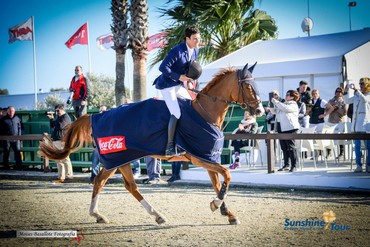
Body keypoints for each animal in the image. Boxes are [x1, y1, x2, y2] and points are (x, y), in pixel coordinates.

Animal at [38, 62, 264, 226]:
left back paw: (141, 215)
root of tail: (98, 115)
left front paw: (227, 212)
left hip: (121, 159)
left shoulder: (207, 157)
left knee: (117, 183)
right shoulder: (199, 158)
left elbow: (219, 183)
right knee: (106, 182)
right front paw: (217, 205)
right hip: (116, 157)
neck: (205, 112)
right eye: (248, 86)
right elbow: (227, 175)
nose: (260, 110)